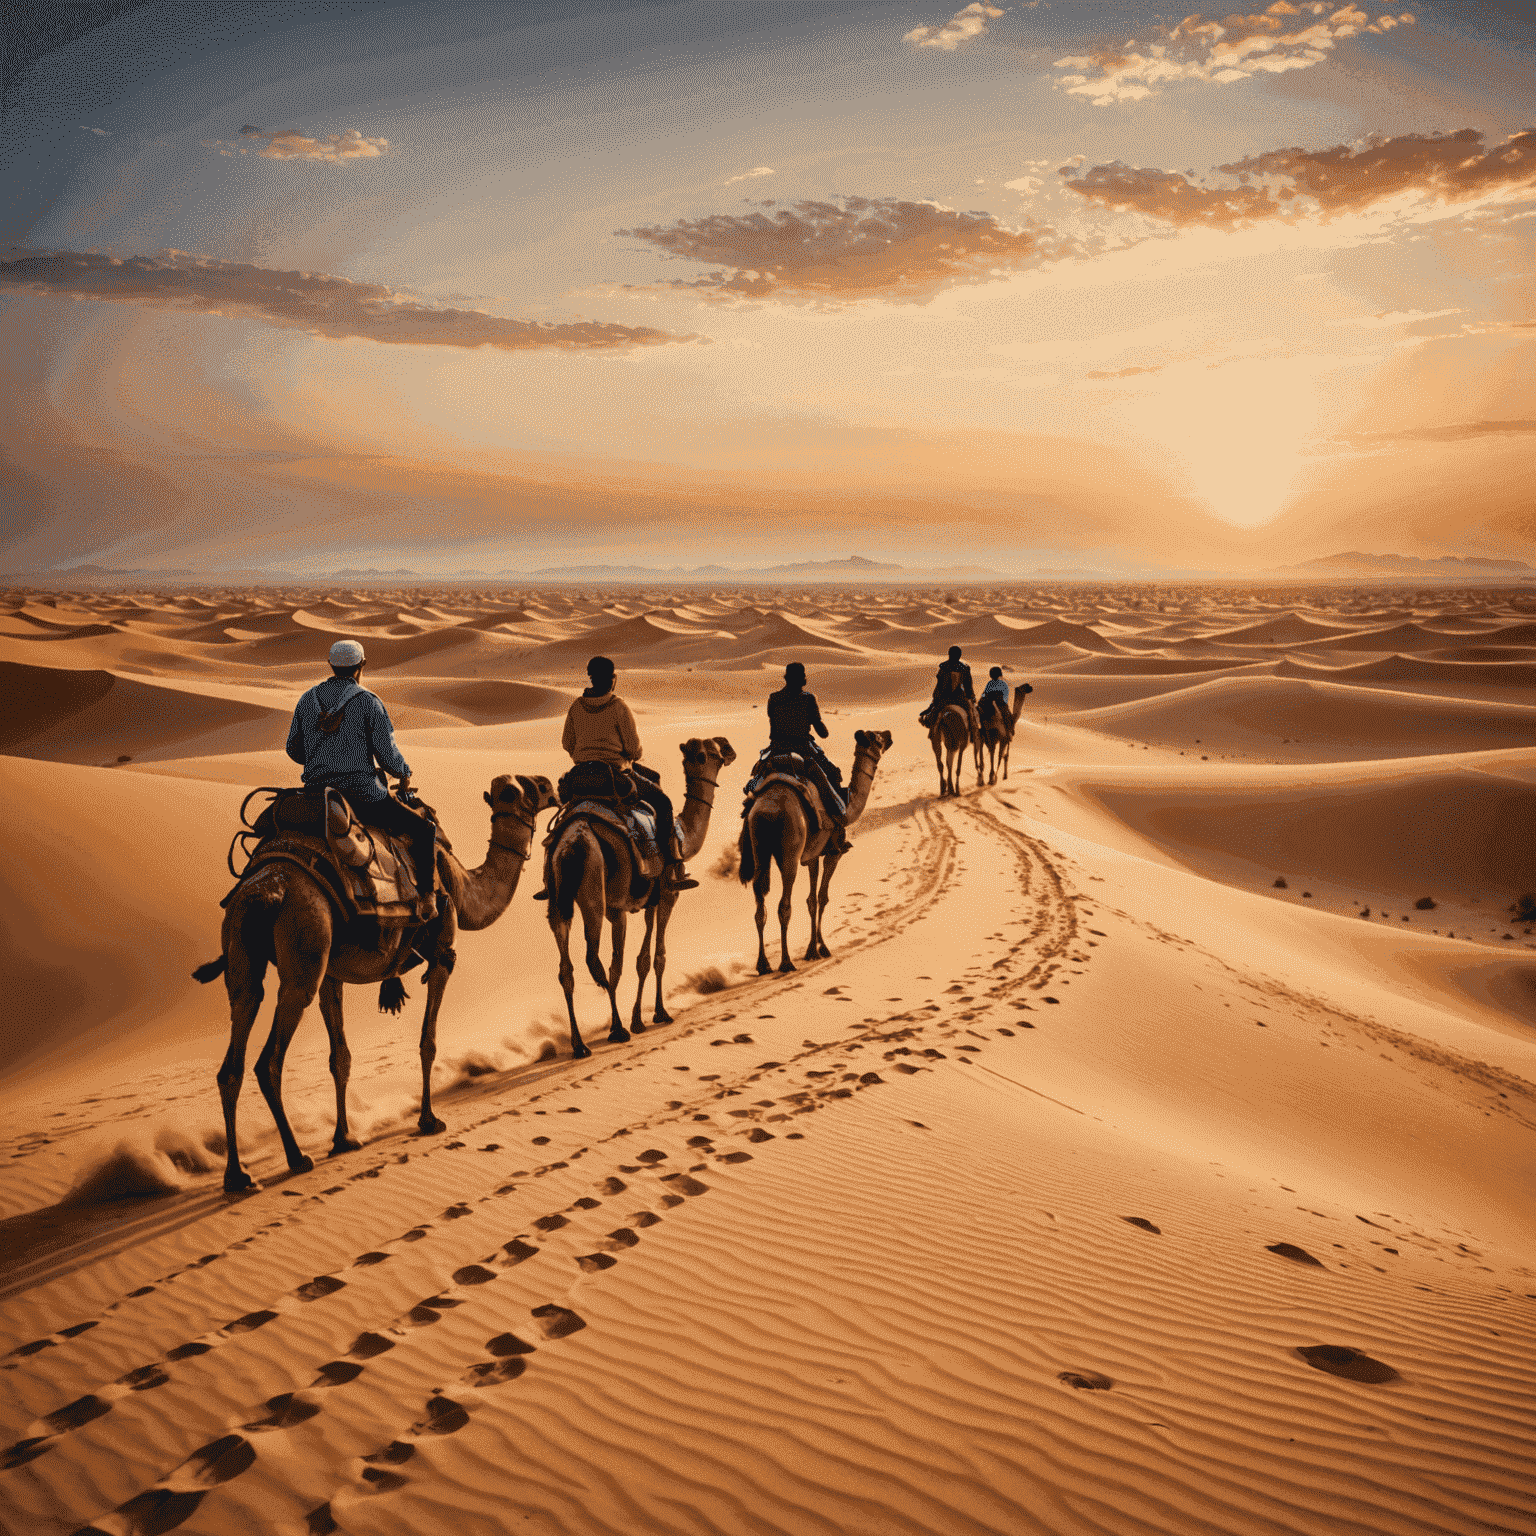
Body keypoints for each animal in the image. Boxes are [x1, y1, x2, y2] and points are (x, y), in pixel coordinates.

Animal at [201, 774, 552, 1191]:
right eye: (519, 789)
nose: (551, 783)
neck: (460, 883)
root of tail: (262, 891)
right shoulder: (443, 953)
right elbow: (428, 1041)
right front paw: (429, 1120)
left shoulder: (332, 975)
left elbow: (341, 1058)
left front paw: (344, 1139)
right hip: (304, 942)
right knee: (269, 1059)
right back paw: (296, 1157)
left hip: (243, 947)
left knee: (237, 1040)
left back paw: (237, 1175)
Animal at [546, 740, 737, 1056]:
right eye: (707, 753)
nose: (727, 752)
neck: (682, 836)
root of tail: (572, 842)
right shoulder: (666, 895)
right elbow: (652, 957)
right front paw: (655, 1015)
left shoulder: (645, 901)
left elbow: (641, 959)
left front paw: (639, 1018)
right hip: (599, 895)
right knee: (599, 961)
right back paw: (617, 1029)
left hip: (558, 897)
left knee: (567, 968)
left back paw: (579, 1043)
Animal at [740, 728, 897, 970]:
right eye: (877, 738)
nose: (888, 734)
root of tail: (768, 810)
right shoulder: (833, 852)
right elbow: (823, 898)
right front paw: (822, 948)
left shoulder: (812, 856)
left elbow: (811, 900)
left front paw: (811, 950)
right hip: (790, 849)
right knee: (784, 904)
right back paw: (786, 962)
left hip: (759, 845)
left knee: (759, 899)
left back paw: (763, 964)